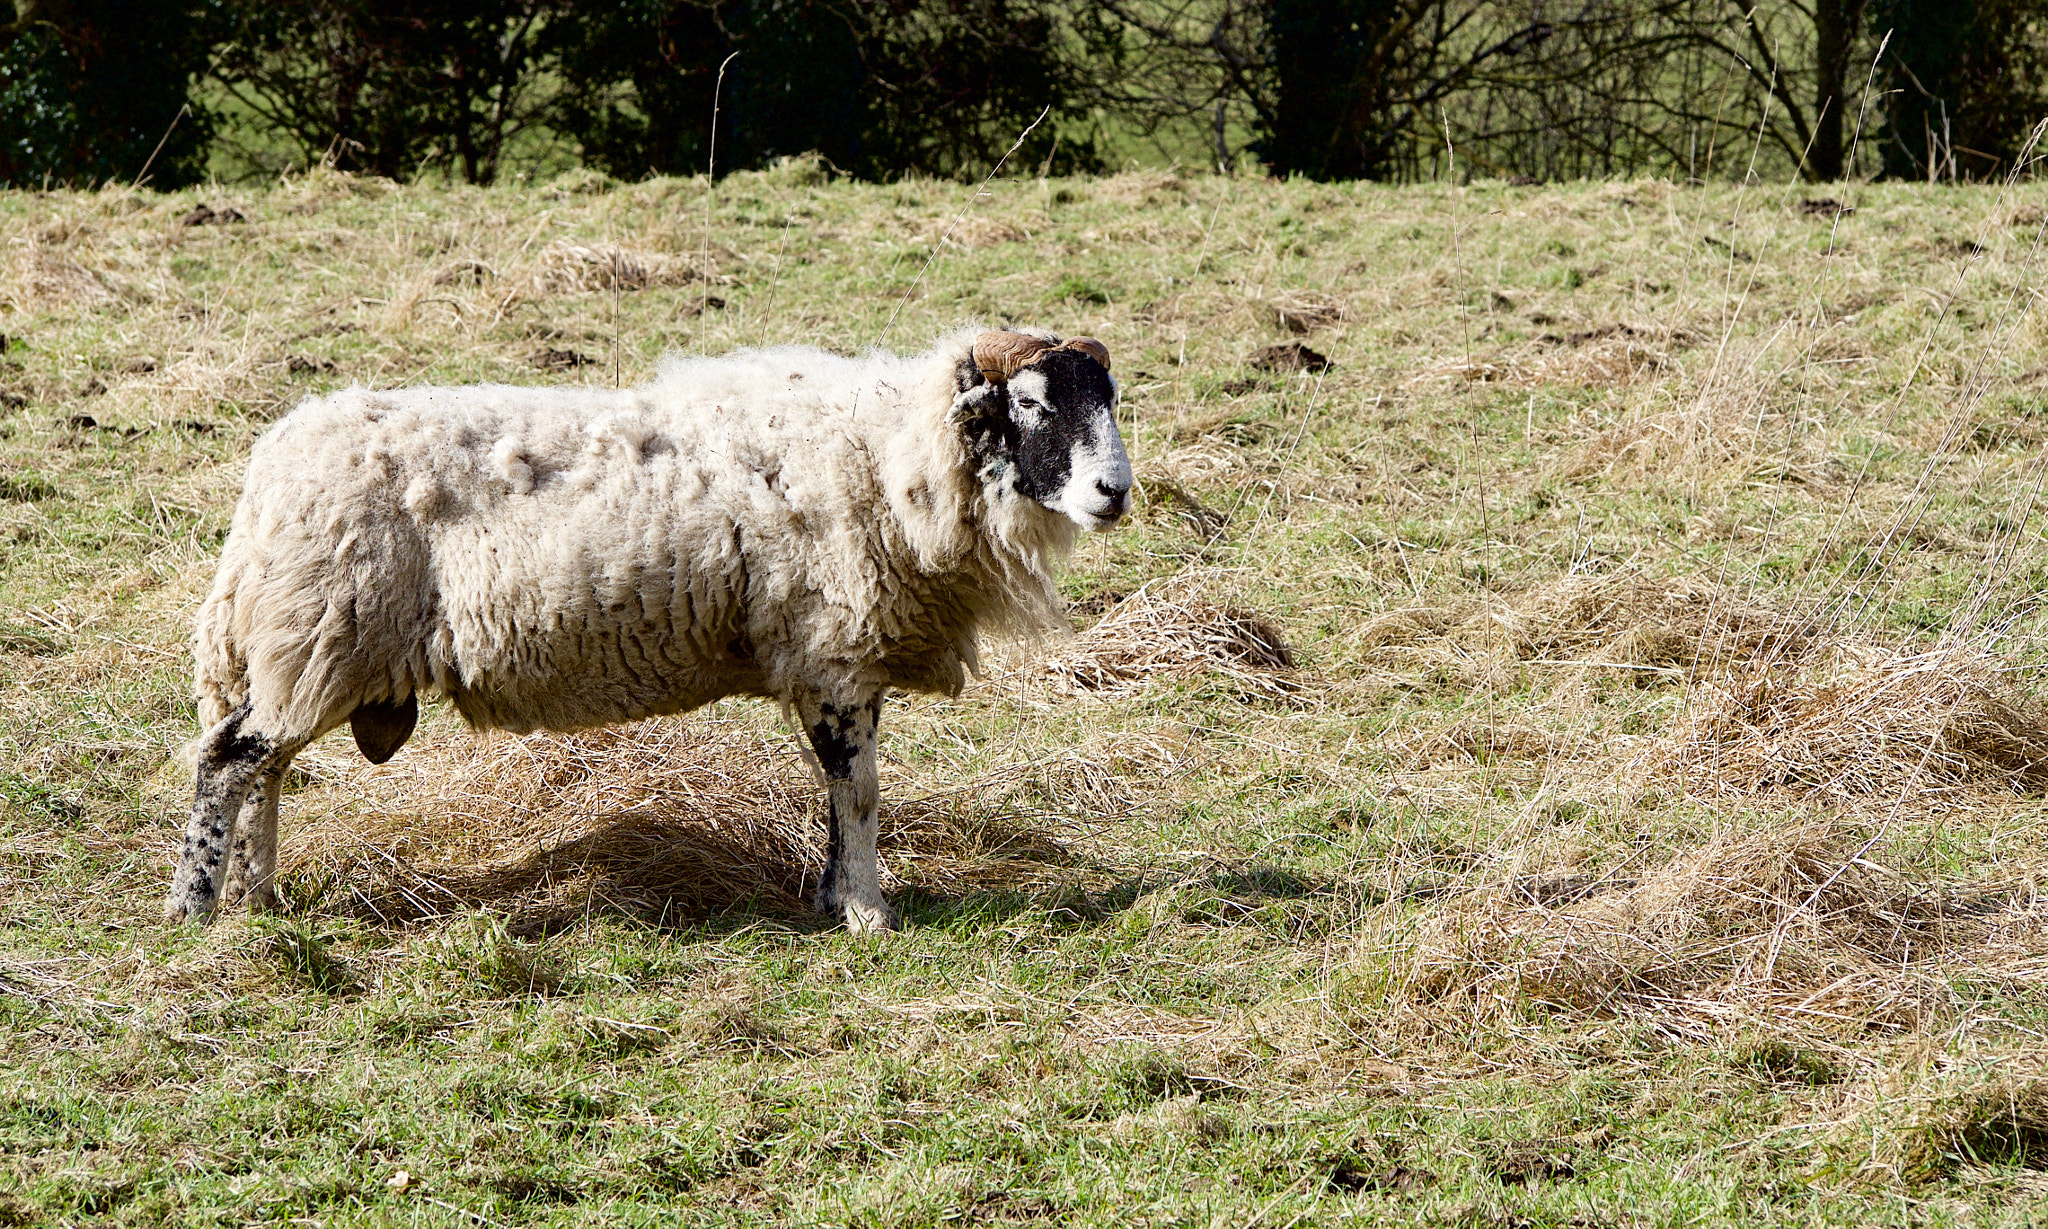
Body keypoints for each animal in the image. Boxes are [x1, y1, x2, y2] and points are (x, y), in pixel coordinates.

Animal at [162, 327, 1131, 934]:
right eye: (1033, 403)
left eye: (1112, 400)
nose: (1115, 492)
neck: (892, 456)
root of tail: (268, 472)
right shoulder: (835, 652)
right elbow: (857, 792)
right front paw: (866, 911)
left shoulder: (831, 663)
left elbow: (834, 794)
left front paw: (831, 895)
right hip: (325, 633)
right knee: (227, 758)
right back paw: (196, 903)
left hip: (301, 649)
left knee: (264, 768)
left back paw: (260, 896)